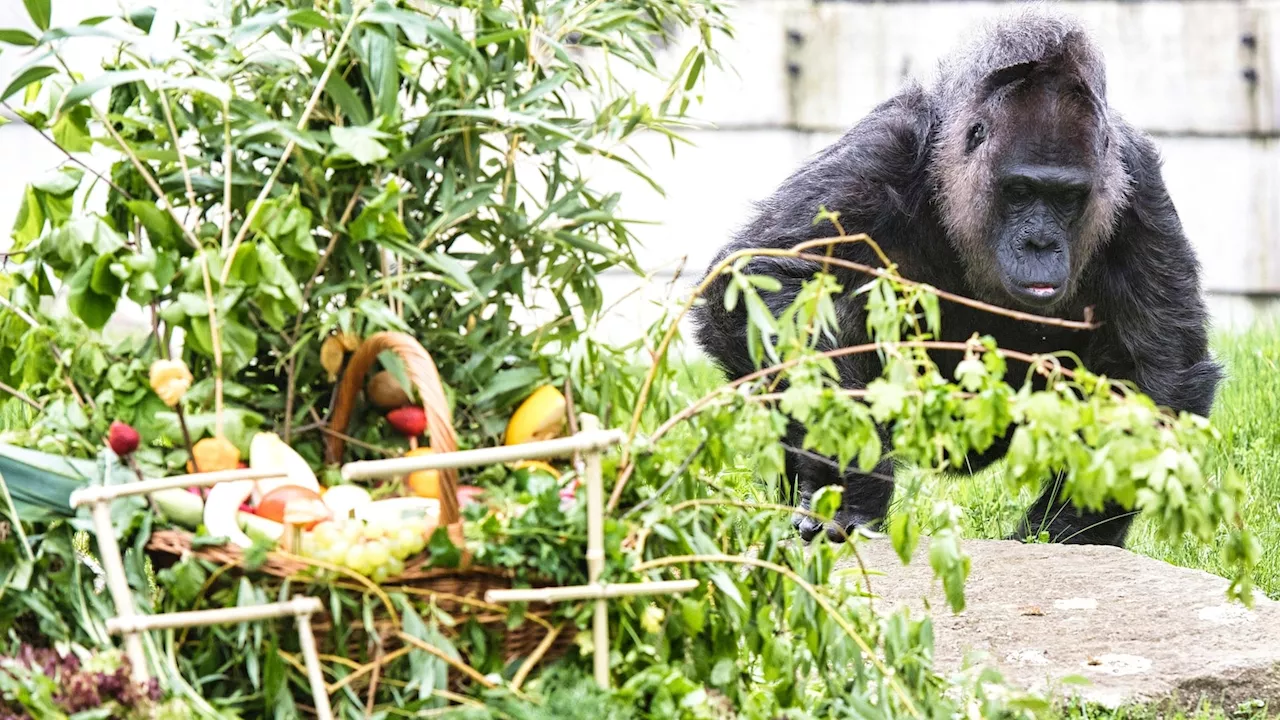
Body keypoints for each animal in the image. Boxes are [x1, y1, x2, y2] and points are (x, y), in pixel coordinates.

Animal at [691, 8, 1218, 545]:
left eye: (1068, 197)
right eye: (1020, 191)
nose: (1040, 245)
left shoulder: (1138, 184)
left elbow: (1155, 368)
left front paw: (1070, 531)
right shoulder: (882, 148)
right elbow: (766, 277)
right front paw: (850, 471)